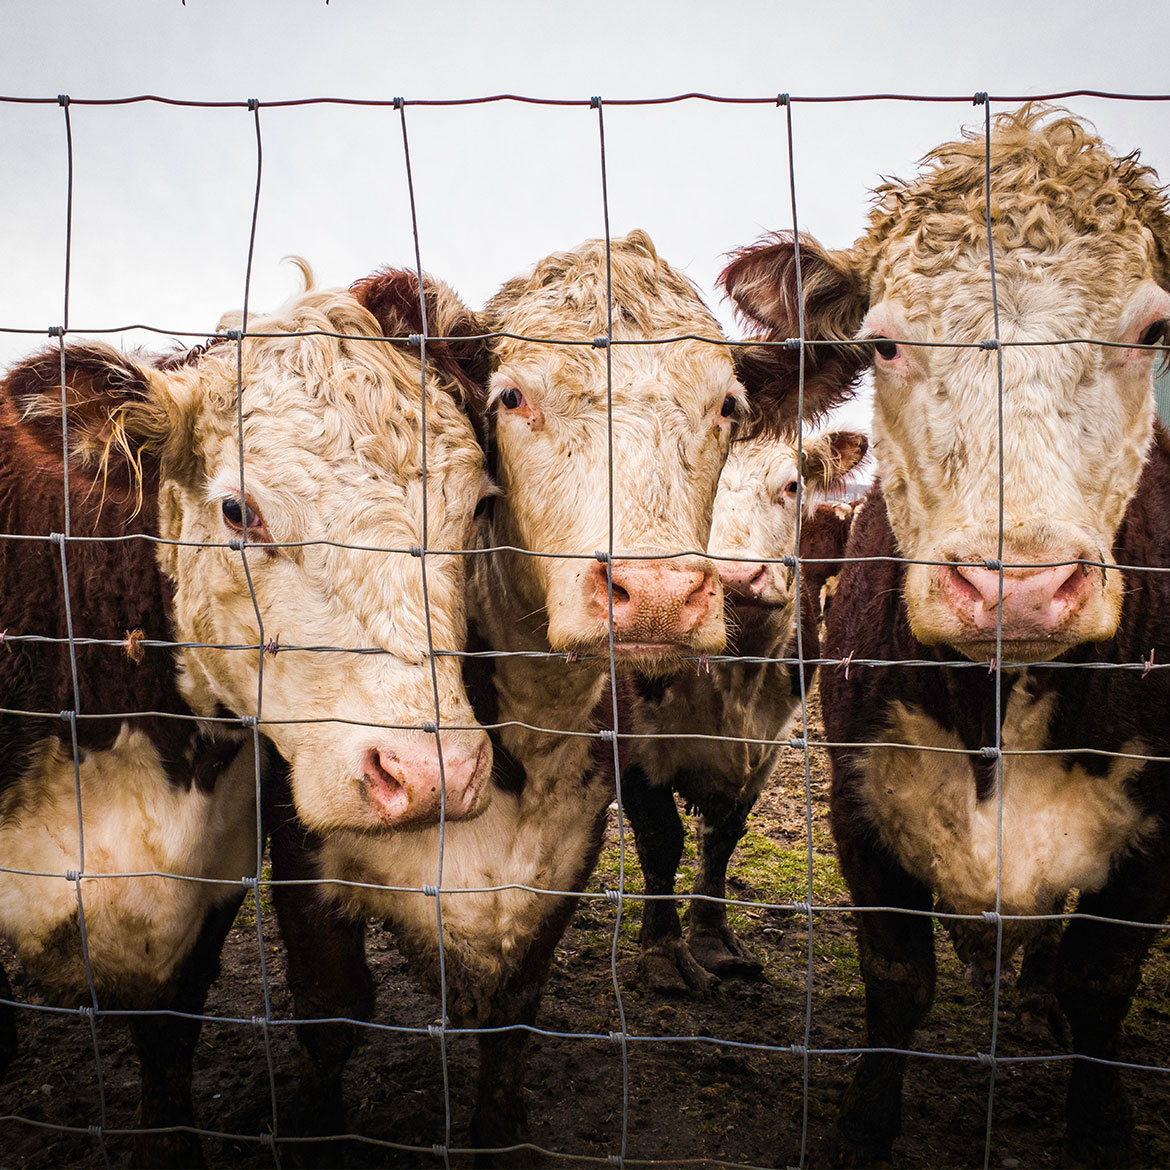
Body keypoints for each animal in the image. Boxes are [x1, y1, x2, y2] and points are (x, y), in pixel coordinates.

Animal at [267, 228, 814, 1160]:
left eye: (728, 407)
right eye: (513, 396)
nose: (656, 593)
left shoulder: (573, 846)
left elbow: (514, 1017)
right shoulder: (302, 850)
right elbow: (330, 1017)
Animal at [627, 425, 865, 992]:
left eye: (793, 485)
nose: (734, 579)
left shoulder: (770, 744)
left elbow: (722, 841)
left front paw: (713, 941)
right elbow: (661, 838)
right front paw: (665, 952)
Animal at [716, 105, 1170, 1165]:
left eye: (1155, 330)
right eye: (884, 345)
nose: (1020, 587)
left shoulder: (1156, 839)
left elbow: (1101, 986)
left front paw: (1101, 1127)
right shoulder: (860, 804)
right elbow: (897, 979)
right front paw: (862, 1128)